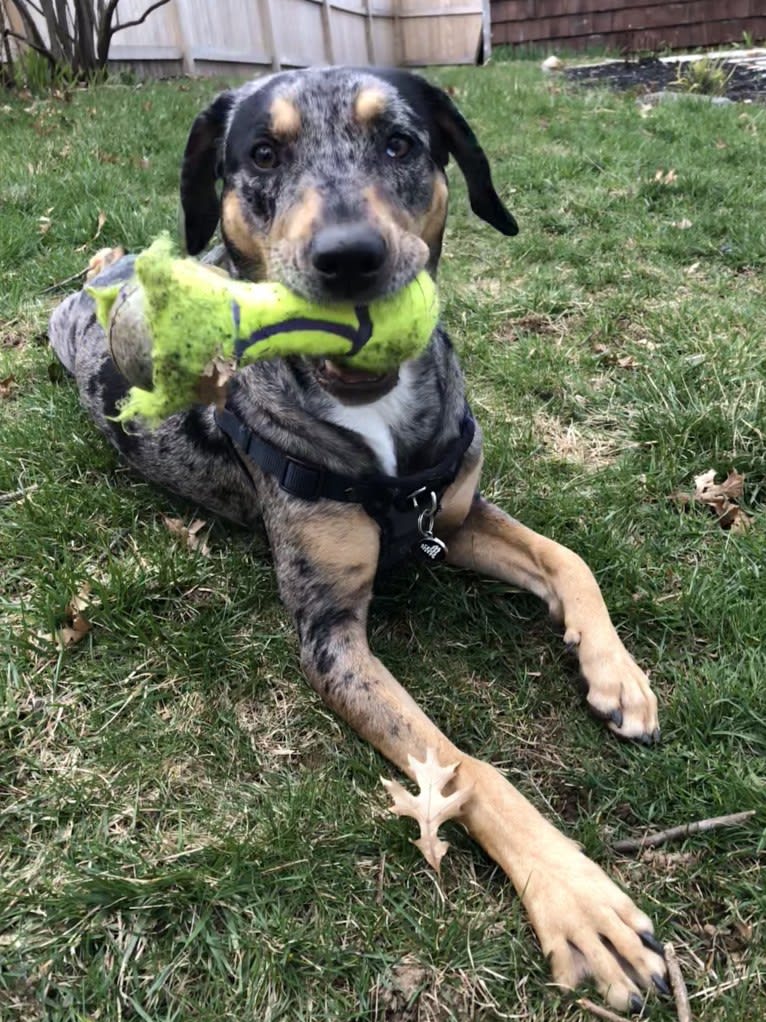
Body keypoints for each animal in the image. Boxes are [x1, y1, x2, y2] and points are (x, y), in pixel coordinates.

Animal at [51, 65, 669, 1013]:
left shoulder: (453, 514)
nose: (349, 257)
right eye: (263, 153)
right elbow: (459, 765)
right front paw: (575, 897)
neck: (376, 427)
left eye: (399, 141)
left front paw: (617, 675)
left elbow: (572, 560)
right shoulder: (330, 637)